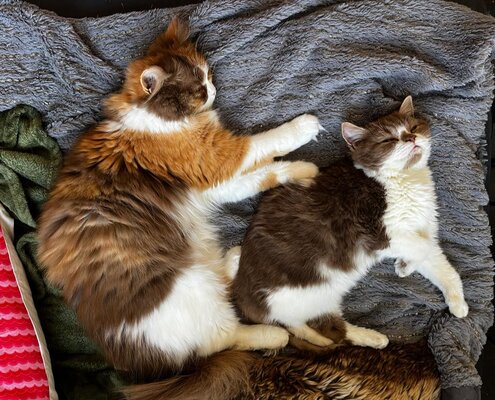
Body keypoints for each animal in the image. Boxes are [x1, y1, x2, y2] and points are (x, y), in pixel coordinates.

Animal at [37, 18, 323, 400]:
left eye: (208, 75)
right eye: (198, 87)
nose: (213, 88)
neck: (151, 116)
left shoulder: (218, 180)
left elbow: (267, 170)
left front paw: (303, 170)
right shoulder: (219, 160)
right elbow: (269, 146)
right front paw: (305, 132)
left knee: (222, 293)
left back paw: (234, 257)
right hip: (191, 286)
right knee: (226, 337)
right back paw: (274, 335)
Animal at [234, 96, 469, 350]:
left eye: (413, 128)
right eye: (389, 140)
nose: (411, 138)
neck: (404, 180)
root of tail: (245, 299)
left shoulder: (421, 228)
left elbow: (439, 263)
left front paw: (456, 302)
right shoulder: (380, 233)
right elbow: (423, 247)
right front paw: (405, 266)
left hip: (321, 298)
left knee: (322, 324)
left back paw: (369, 337)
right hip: (299, 294)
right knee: (321, 328)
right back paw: (366, 338)